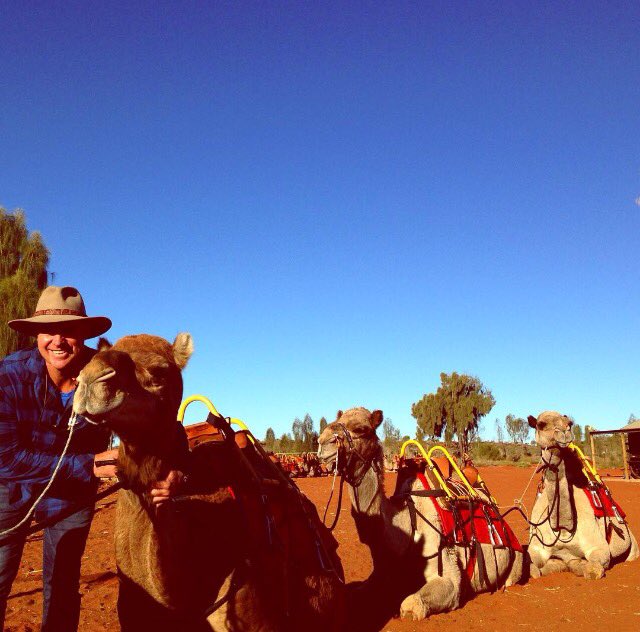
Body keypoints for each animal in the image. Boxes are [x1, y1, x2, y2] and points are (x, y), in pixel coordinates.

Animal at [317, 407, 524, 622]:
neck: (407, 524)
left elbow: (412, 604)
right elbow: (353, 595)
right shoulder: (381, 571)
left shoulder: (446, 568)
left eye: (361, 429)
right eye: (337, 420)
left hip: (516, 561)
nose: (322, 442)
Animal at [527, 411, 638, 579]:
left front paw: (575, 564)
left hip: (632, 545)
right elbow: (533, 570)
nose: (564, 433)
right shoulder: (536, 547)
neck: (563, 529)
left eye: (570, 423)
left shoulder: (599, 548)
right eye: (541, 424)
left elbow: (592, 570)